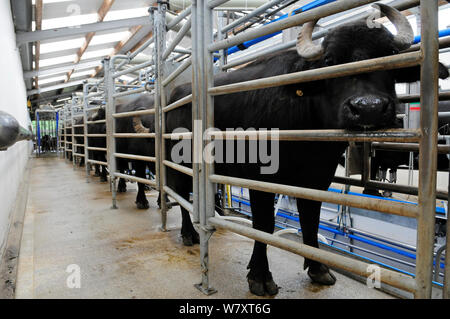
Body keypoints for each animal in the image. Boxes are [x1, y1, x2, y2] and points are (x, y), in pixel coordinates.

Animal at [156, 3, 448, 298]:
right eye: (330, 61)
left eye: (390, 56)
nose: (368, 107)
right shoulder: (259, 180)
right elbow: (264, 224)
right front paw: (260, 276)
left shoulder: (317, 178)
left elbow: (311, 219)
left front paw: (317, 267)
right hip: (178, 161)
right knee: (180, 191)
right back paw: (190, 233)